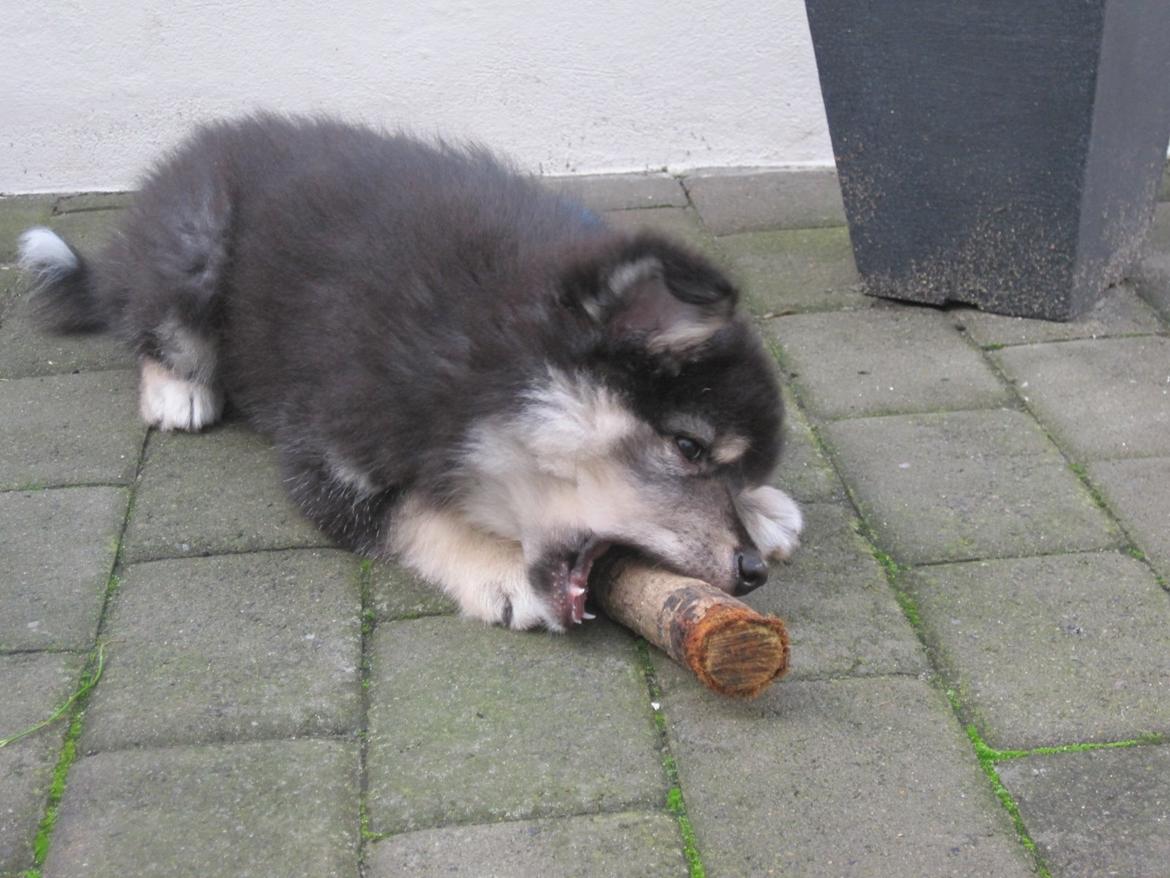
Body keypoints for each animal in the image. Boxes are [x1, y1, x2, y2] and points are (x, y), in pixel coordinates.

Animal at [20, 113, 804, 632]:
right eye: (689, 447)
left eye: (735, 467)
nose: (751, 574)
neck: (479, 354)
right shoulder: (328, 450)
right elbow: (409, 511)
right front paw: (494, 561)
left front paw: (763, 507)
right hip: (194, 244)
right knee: (150, 318)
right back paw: (177, 387)